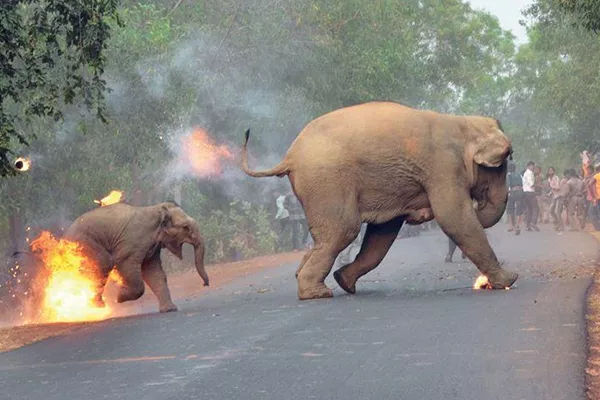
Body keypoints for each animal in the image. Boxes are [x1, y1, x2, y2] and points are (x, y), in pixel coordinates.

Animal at [62, 202, 209, 310]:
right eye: (185, 227)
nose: (205, 284)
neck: (157, 210)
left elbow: (154, 272)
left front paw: (170, 309)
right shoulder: (133, 242)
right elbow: (125, 264)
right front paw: (119, 297)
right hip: (84, 243)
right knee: (105, 263)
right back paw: (98, 305)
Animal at [241, 100, 516, 300]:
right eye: (502, 165)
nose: (421, 215)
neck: (462, 123)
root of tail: (289, 156)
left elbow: (382, 233)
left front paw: (344, 280)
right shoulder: (443, 167)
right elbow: (454, 217)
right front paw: (509, 280)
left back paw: (317, 282)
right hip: (327, 181)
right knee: (344, 230)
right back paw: (317, 294)